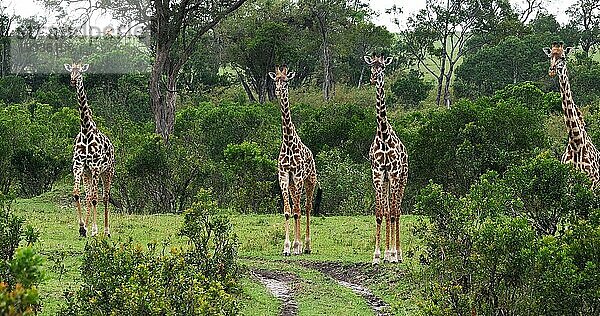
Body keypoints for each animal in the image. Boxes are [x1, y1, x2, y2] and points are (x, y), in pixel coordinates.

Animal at [64, 63, 116, 237]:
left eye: (80, 72)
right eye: (70, 72)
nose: (73, 81)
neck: (86, 131)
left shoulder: (95, 167)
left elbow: (95, 198)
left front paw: (94, 230)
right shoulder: (79, 166)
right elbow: (77, 194)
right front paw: (82, 228)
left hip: (107, 171)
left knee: (104, 197)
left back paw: (106, 231)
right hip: (88, 173)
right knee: (88, 196)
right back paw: (87, 228)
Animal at [270, 65, 322, 256]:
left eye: (286, 81)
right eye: (275, 81)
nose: (278, 91)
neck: (288, 142)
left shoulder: (299, 177)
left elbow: (298, 211)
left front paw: (297, 245)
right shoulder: (284, 176)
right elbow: (288, 211)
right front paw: (286, 247)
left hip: (310, 180)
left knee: (306, 208)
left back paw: (305, 246)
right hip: (293, 185)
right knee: (296, 208)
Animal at [544, 41, 600, 185]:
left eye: (563, 57)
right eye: (550, 56)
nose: (552, 70)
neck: (576, 144)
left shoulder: (591, 183)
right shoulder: (567, 183)